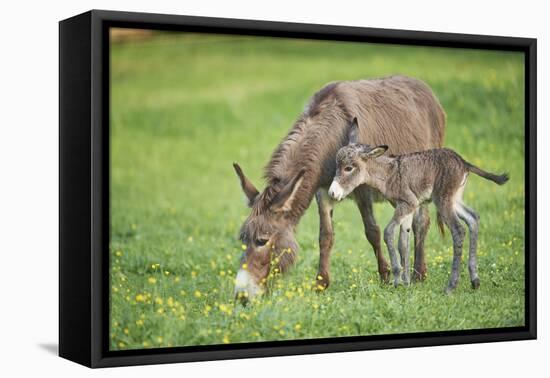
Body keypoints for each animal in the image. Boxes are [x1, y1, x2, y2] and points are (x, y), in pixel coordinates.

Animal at [330, 122, 512, 290]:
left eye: (348, 168)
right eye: (337, 166)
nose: (332, 193)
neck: (389, 173)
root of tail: (463, 162)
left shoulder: (407, 203)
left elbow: (389, 233)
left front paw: (396, 278)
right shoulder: (408, 208)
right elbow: (403, 241)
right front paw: (406, 282)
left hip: (443, 200)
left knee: (458, 230)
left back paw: (451, 286)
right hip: (454, 199)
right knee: (473, 218)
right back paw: (475, 280)